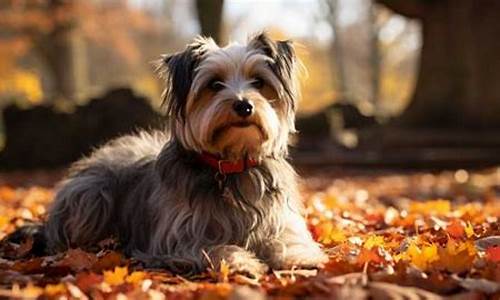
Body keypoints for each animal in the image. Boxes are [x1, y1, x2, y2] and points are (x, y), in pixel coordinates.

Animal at [44, 32, 328, 276]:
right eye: (215, 84)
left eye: (258, 82)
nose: (244, 105)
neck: (230, 165)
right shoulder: (179, 238)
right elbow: (213, 248)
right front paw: (242, 261)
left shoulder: (282, 220)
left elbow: (285, 239)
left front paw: (298, 256)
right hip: (92, 195)